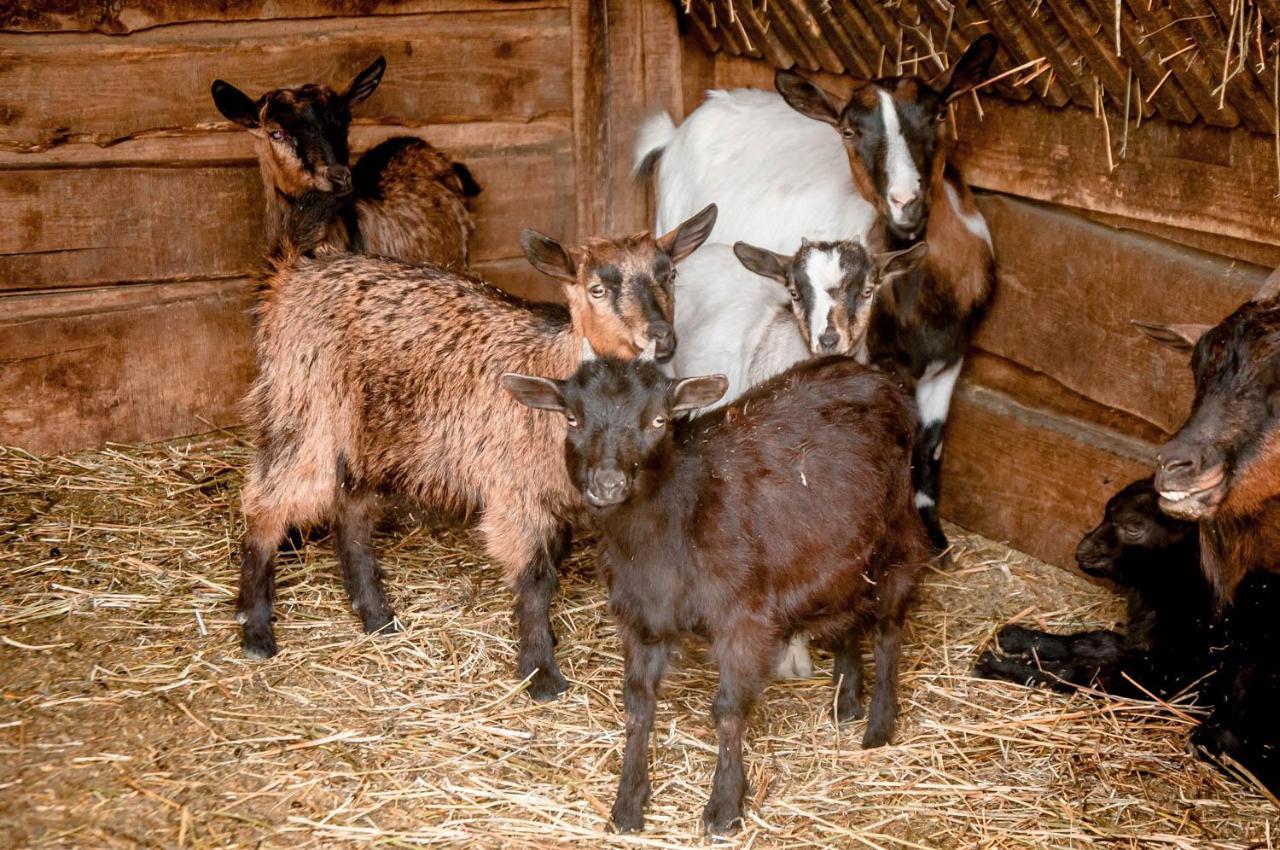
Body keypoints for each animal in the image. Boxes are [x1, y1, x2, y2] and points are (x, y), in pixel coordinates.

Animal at [238, 200, 721, 701]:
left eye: (669, 275)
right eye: (597, 289)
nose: (660, 336)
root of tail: (291, 271)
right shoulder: (516, 489)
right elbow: (535, 579)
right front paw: (541, 673)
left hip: (370, 430)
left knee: (350, 510)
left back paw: (377, 617)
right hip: (305, 406)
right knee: (267, 503)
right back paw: (256, 631)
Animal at [501, 350, 931, 829]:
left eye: (659, 420)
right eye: (572, 418)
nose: (608, 483)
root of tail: (874, 375)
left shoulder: (743, 619)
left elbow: (728, 710)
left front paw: (725, 805)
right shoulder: (643, 616)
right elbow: (638, 706)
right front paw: (629, 802)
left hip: (898, 537)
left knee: (888, 630)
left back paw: (879, 725)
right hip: (837, 555)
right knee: (847, 615)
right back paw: (848, 699)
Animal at [637, 36, 998, 550]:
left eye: (938, 113)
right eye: (848, 131)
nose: (905, 202)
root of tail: (676, 130)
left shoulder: (950, 362)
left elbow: (931, 447)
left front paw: (935, 541)